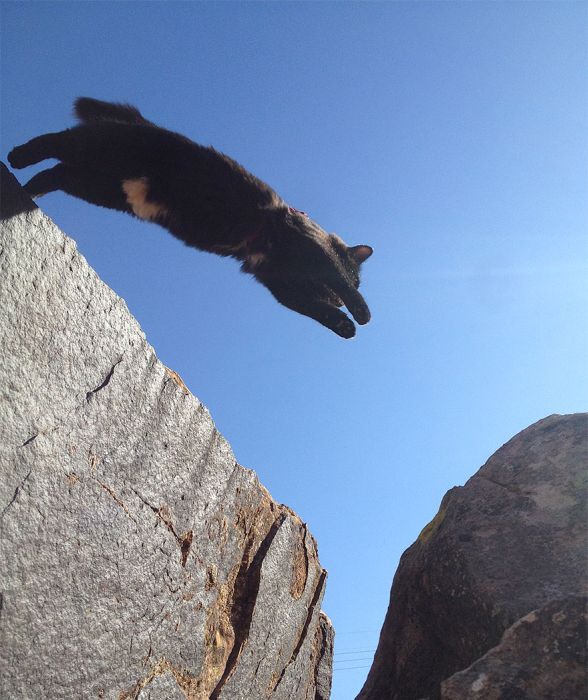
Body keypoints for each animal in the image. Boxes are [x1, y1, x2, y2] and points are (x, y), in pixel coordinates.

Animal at [9, 98, 372, 340]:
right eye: (356, 279)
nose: (339, 298)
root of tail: (148, 125)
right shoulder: (309, 249)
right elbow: (334, 273)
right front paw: (361, 313)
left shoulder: (277, 281)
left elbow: (311, 309)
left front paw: (344, 325)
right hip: (99, 150)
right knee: (57, 140)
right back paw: (18, 158)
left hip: (99, 186)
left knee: (56, 172)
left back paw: (29, 191)